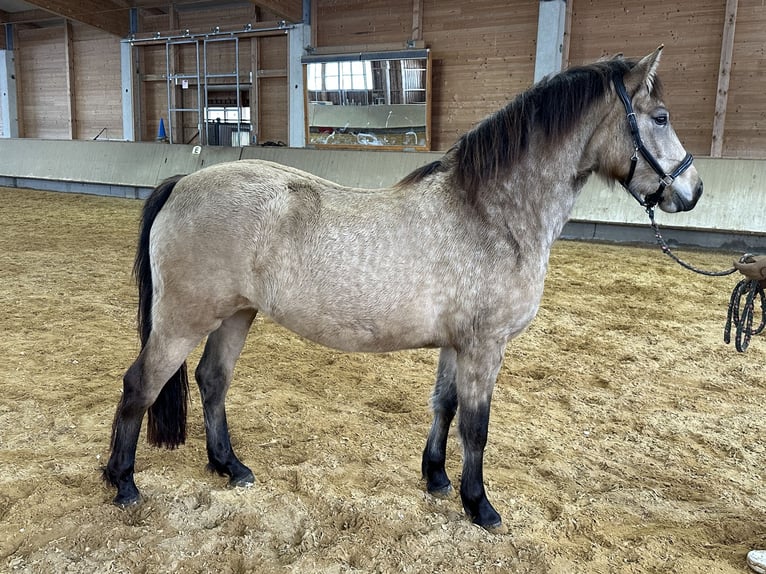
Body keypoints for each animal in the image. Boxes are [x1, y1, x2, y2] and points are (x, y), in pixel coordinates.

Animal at [104, 46, 702, 531]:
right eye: (661, 117)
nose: (694, 191)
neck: (491, 214)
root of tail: (184, 181)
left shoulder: (457, 346)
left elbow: (444, 406)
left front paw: (436, 479)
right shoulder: (485, 347)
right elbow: (476, 427)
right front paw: (479, 506)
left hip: (236, 314)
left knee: (212, 380)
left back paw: (229, 466)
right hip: (183, 320)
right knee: (140, 385)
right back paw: (124, 483)